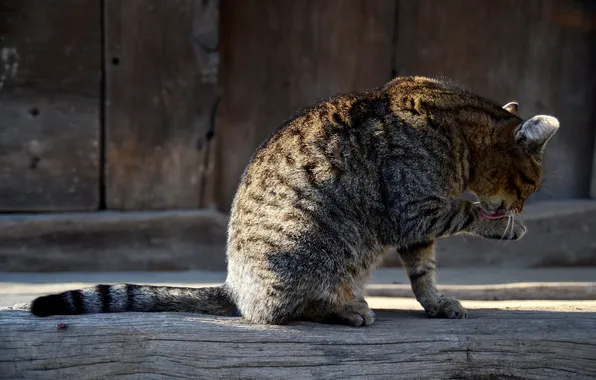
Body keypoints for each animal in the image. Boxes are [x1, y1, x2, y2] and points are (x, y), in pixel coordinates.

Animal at [29, 77, 560, 326]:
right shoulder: (416, 210)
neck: (456, 130)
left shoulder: (419, 227)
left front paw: (436, 302)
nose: (523, 207)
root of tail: (234, 286)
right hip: (320, 245)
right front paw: (503, 225)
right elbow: (465, 211)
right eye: (530, 188)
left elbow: (424, 274)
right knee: (280, 311)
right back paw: (345, 309)